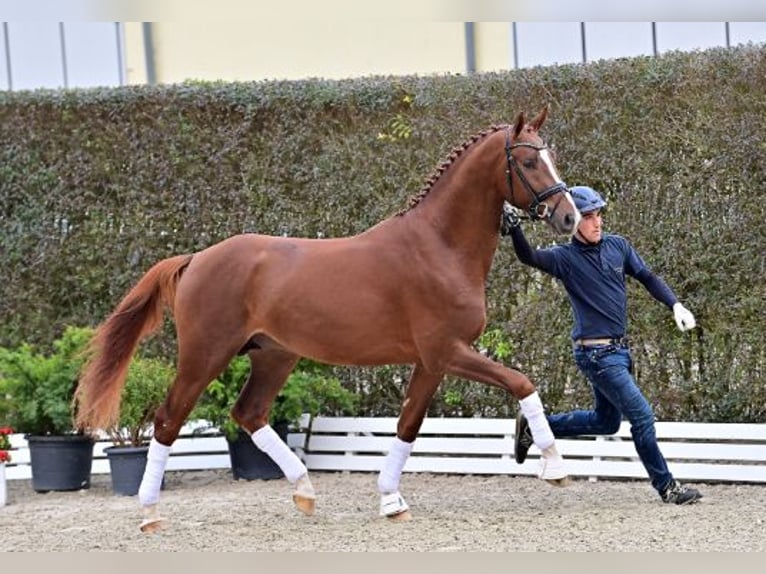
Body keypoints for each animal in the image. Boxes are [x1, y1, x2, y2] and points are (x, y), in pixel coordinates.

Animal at [75, 106, 580, 532]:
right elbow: (521, 382)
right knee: (167, 421)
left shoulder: (431, 362)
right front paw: (555, 466)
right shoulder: (449, 352)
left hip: (273, 356)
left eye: (551, 157)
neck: (439, 245)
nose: (569, 218)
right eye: (529, 161)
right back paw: (149, 514)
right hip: (205, 356)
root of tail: (196, 259)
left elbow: (408, 424)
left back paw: (304, 491)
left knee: (248, 413)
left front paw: (391, 500)